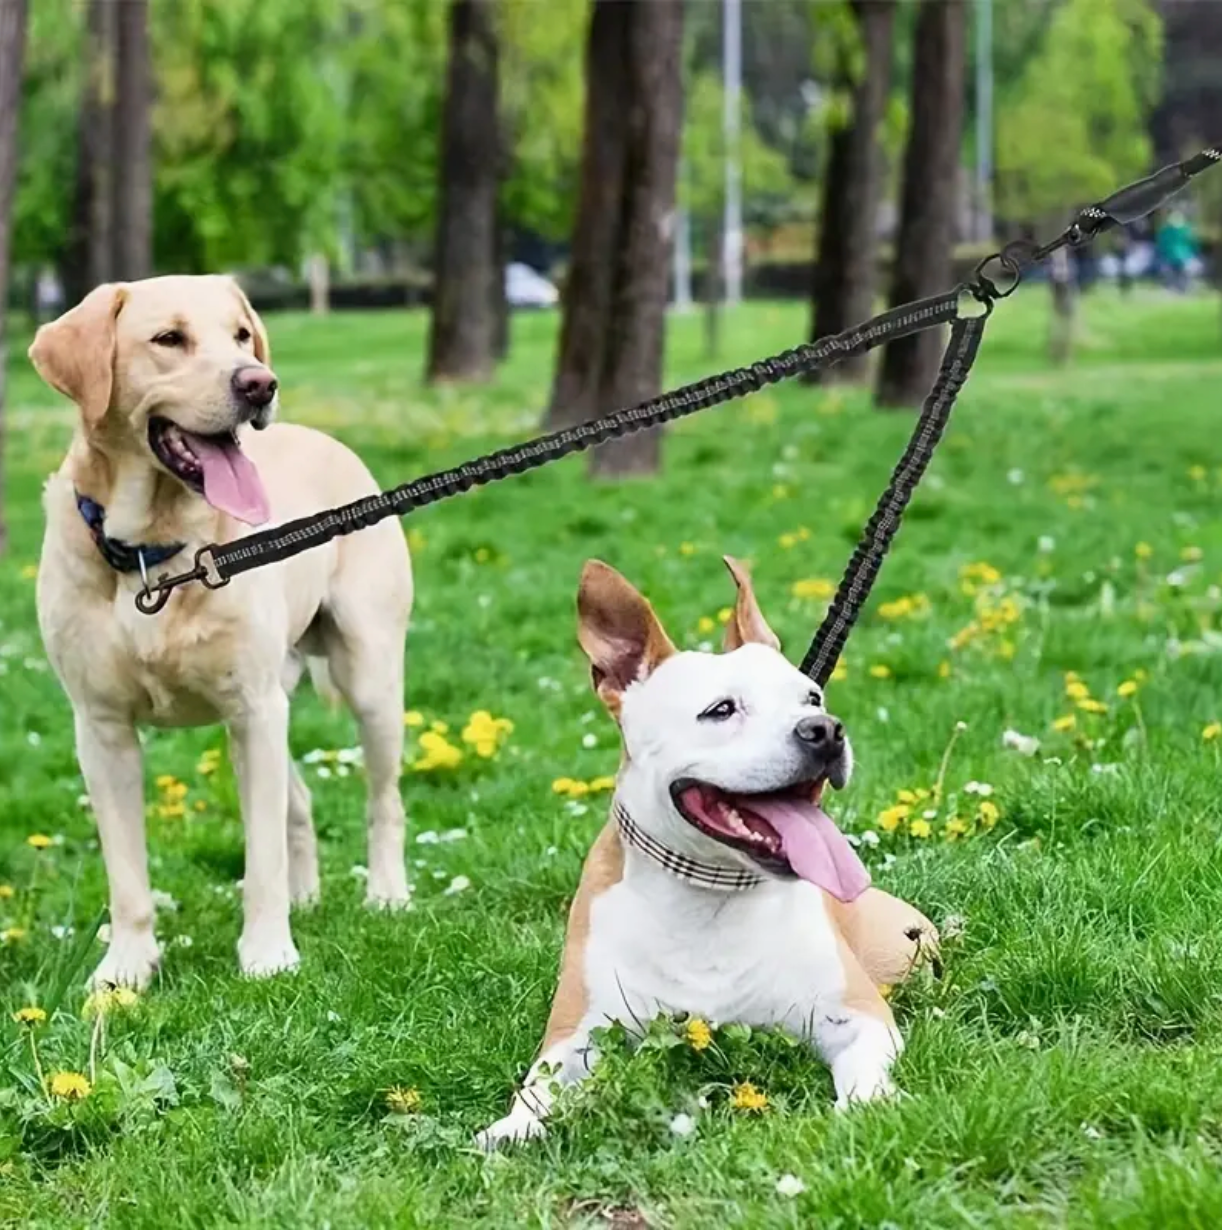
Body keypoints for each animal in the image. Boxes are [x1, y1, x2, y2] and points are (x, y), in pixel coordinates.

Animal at [27, 274, 415, 984]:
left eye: (240, 335)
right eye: (168, 338)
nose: (260, 383)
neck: (154, 555)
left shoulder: (252, 709)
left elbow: (260, 860)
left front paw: (267, 956)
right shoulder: (101, 728)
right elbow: (127, 878)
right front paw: (126, 969)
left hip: (368, 680)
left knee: (384, 801)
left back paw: (387, 895)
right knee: (299, 801)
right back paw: (307, 898)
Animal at [477, 563, 935, 1146]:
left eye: (811, 698)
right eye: (721, 710)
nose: (825, 730)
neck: (711, 890)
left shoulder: (859, 1015)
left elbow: (864, 1064)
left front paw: (870, 1103)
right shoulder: (574, 1035)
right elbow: (541, 1083)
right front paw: (514, 1125)